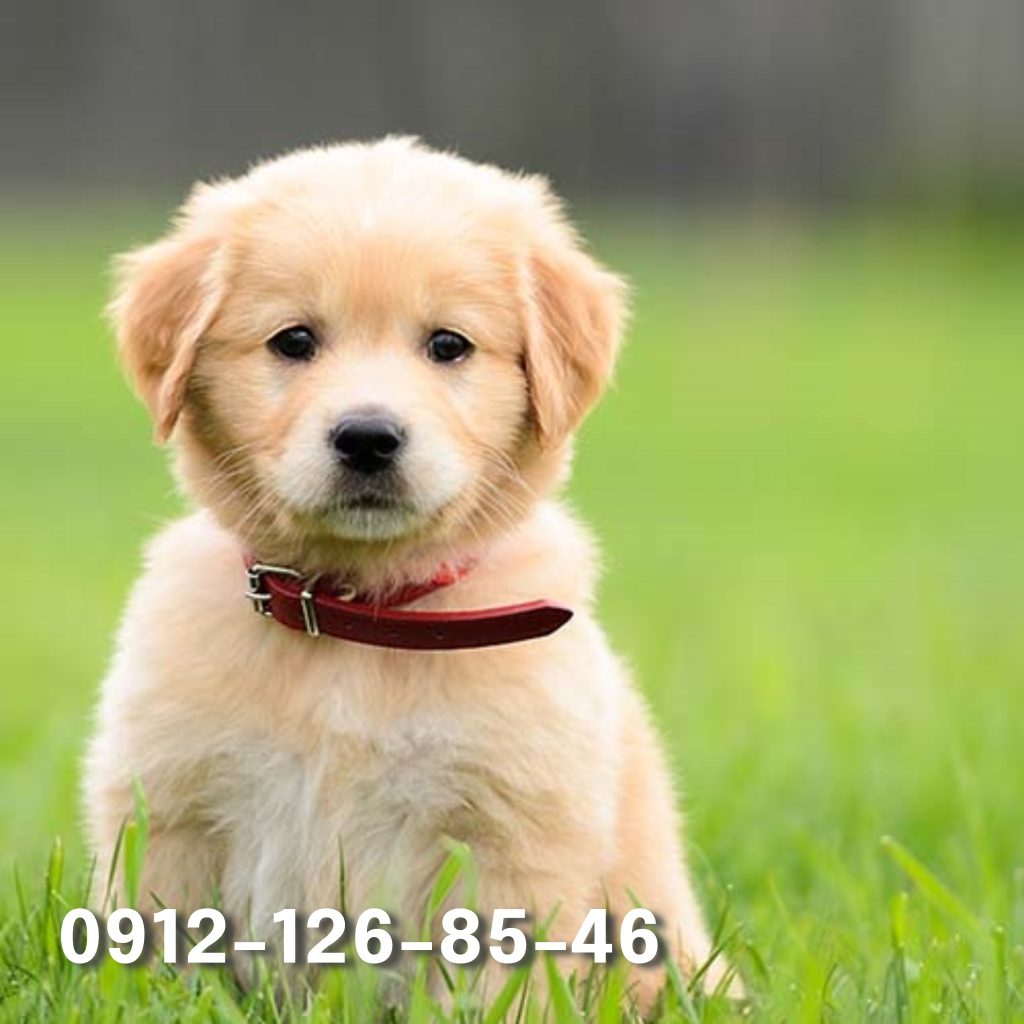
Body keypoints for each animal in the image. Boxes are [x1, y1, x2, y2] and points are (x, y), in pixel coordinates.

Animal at [83, 138, 733, 1007]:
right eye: (293, 341)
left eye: (448, 345)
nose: (367, 437)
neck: (354, 614)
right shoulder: (170, 807)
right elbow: (160, 956)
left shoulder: (511, 833)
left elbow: (504, 988)